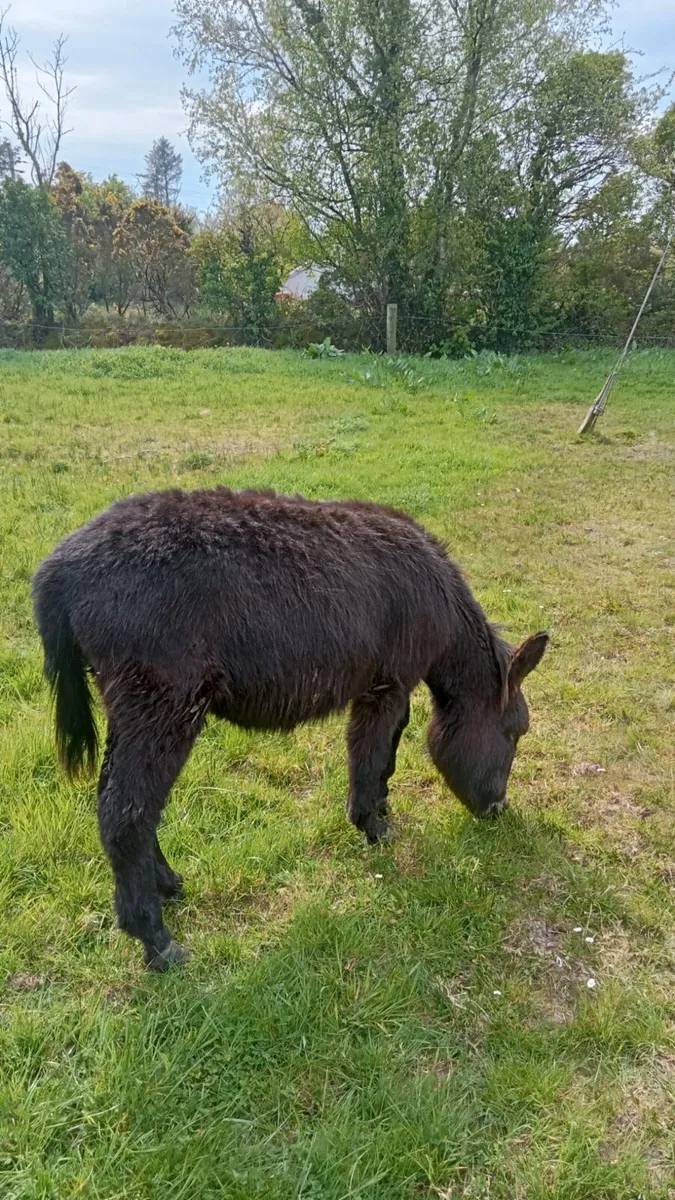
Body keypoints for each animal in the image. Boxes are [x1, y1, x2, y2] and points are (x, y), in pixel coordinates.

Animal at [33, 487, 548, 970]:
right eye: (514, 733)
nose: (497, 809)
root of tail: (58, 569)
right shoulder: (387, 685)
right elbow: (373, 754)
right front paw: (373, 827)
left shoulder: (384, 687)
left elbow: (387, 753)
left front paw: (381, 809)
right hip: (162, 707)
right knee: (125, 814)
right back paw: (155, 939)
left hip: (135, 711)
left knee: (126, 804)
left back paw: (167, 884)